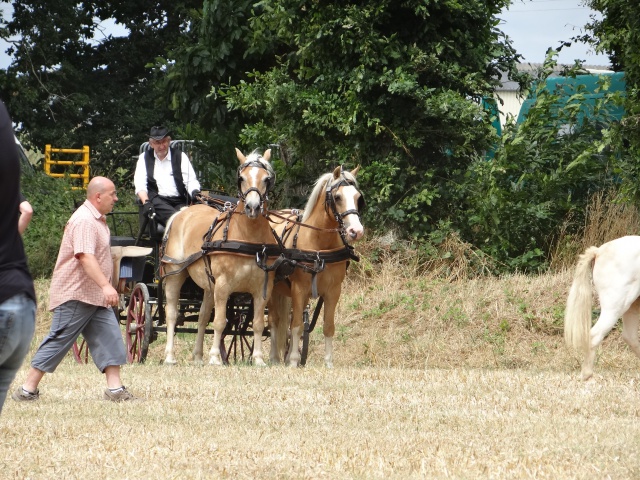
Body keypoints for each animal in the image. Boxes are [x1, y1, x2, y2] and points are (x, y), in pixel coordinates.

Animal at [161, 148, 276, 366]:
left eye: (266, 179)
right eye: (241, 178)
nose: (253, 207)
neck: (247, 237)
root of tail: (183, 212)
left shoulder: (262, 289)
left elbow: (257, 323)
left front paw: (258, 359)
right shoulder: (223, 286)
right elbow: (220, 322)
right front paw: (215, 357)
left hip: (208, 285)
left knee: (202, 317)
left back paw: (198, 357)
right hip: (175, 275)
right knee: (171, 314)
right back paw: (170, 356)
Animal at [268, 165, 364, 368]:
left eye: (358, 197)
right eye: (337, 197)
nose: (356, 231)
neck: (320, 247)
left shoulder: (333, 291)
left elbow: (328, 326)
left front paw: (328, 363)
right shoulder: (299, 289)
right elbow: (297, 326)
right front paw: (294, 362)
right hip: (271, 289)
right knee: (274, 321)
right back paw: (274, 358)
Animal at [564, 235, 640, 378]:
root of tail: (599, 251)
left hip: (632, 305)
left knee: (630, 336)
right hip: (616, 306)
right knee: (595, 335)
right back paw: (586, 375)